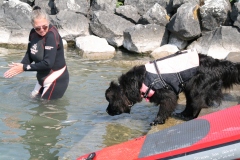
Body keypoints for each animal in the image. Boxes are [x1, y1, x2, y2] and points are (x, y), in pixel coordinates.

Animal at [105, 48, 240, 125]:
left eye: (110, 101)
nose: (106, 111)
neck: (137, 83)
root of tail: (217, 64)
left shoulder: (166, 93)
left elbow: (165, 106)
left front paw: (157, 121)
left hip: (197, 87)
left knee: (197, 102)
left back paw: (189, 117)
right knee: (191, 103)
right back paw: (182, 114)